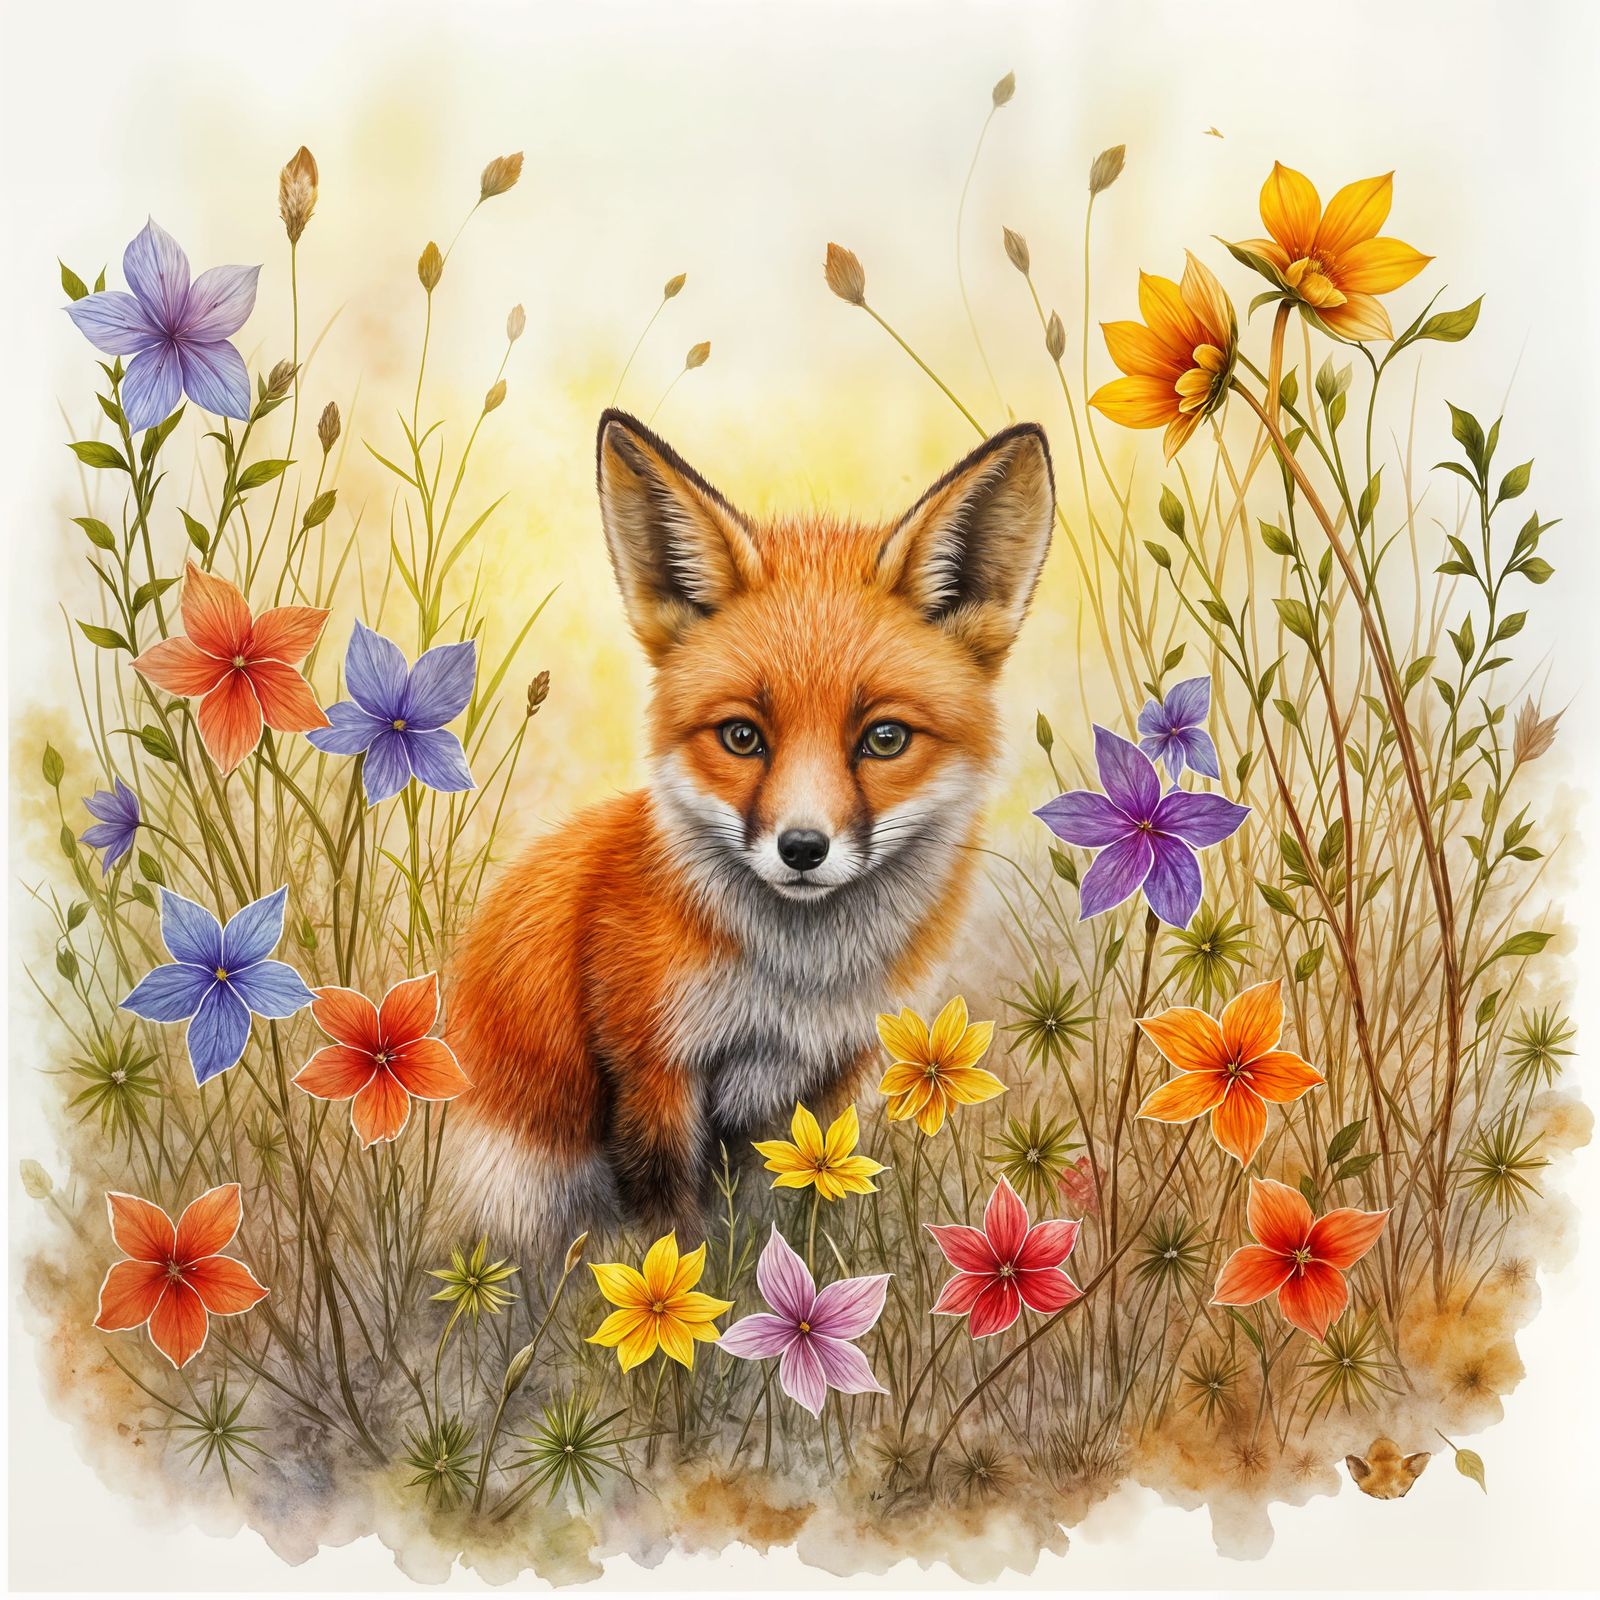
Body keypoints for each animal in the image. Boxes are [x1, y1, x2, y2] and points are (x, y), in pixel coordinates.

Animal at [444, 408, 1054, 1246]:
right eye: (742, 737)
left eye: (885, 739)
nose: (802, 849)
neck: (793, 987)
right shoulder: (653, 1069)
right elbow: (670, 1241)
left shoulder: (826, 1078)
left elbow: (797, 1209)